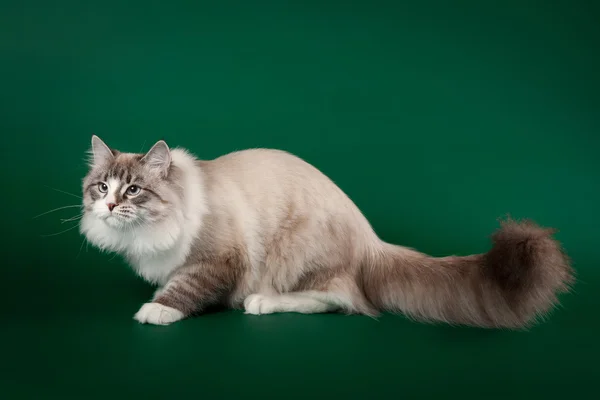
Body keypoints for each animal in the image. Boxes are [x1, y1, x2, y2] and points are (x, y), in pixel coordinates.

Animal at [79, 136, 572, 330]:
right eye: (102, 186)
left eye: (134, 190)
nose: (109, 205)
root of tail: (371, 241)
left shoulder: (218, 257)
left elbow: (185, 288)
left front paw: (157, 309)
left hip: (297, 253)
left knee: (341, 299)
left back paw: (261, 303)